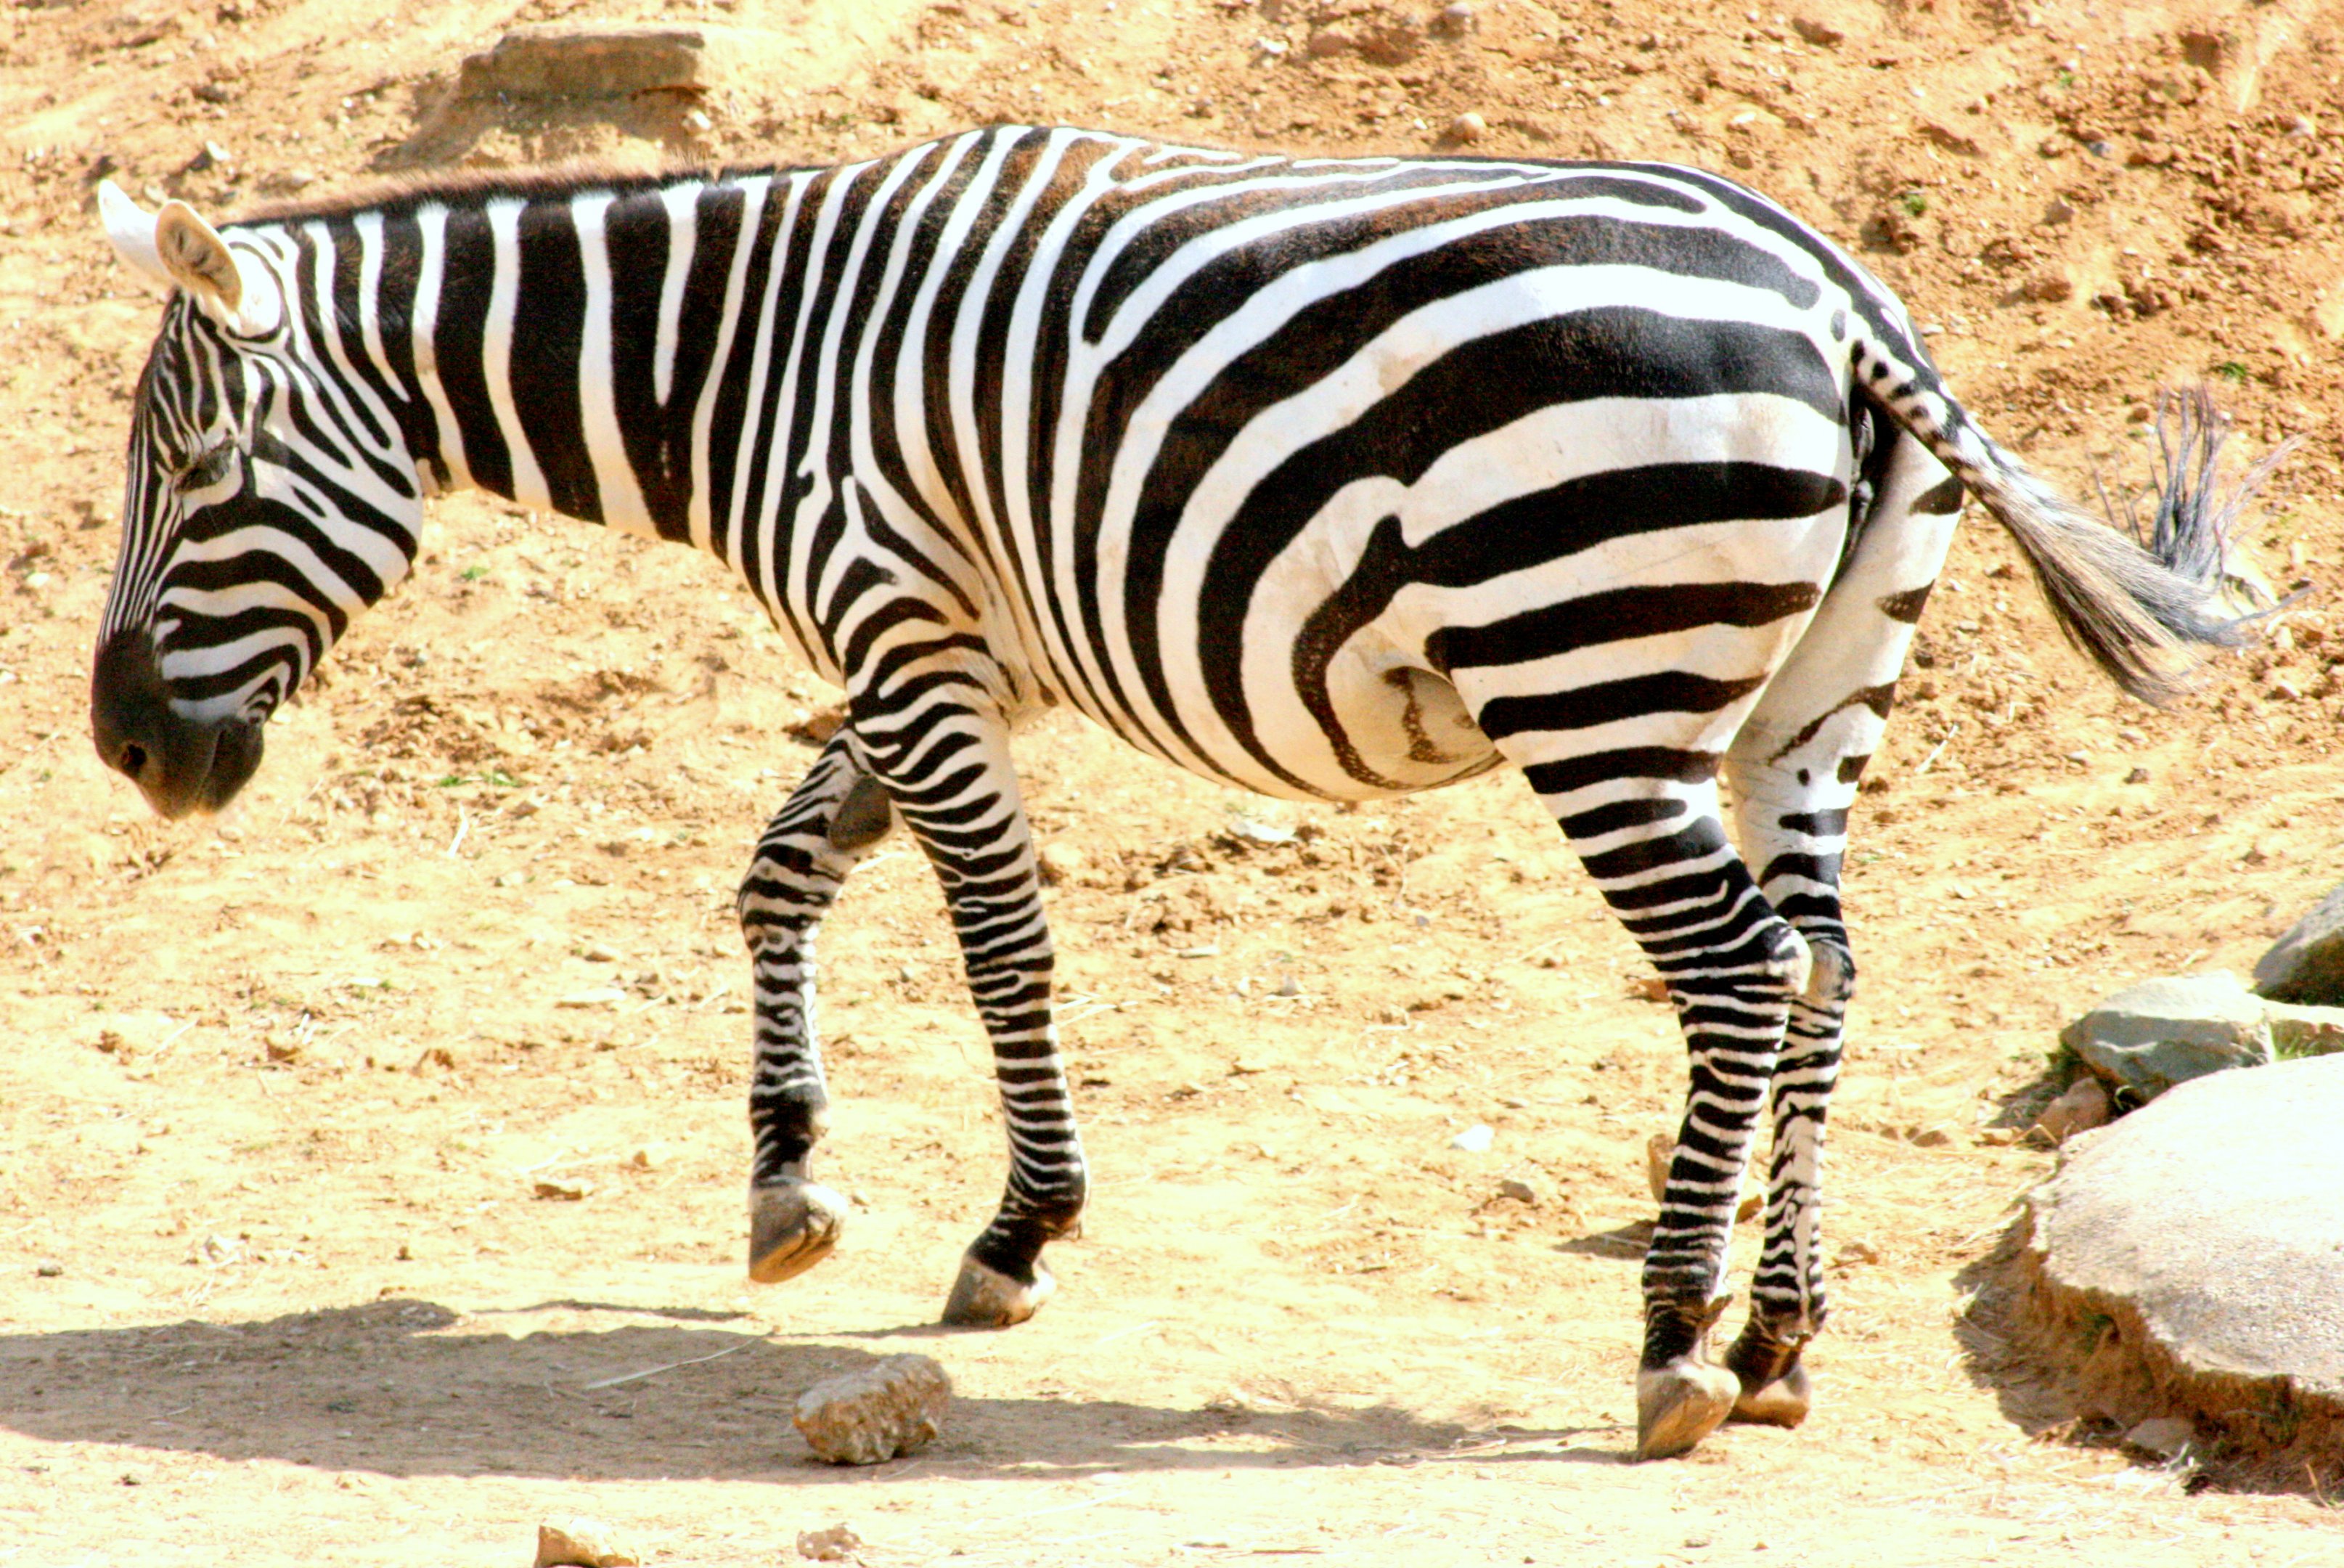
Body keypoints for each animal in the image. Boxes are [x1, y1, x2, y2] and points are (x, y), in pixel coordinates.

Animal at [89, 126, 2248, 1462]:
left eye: (190, 473)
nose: (120, 751)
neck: (751, 358)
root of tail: (1836, 298)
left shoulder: (901, 627)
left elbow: (995, 945)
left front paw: (1017, 1234)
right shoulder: (956, 650)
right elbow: (779, 870)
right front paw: (788, 1181)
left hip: (1589, 670)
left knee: (1732, 974)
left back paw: (1667, 1338)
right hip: (1810, 696)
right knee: (1823, 967)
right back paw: (1780, 1338)